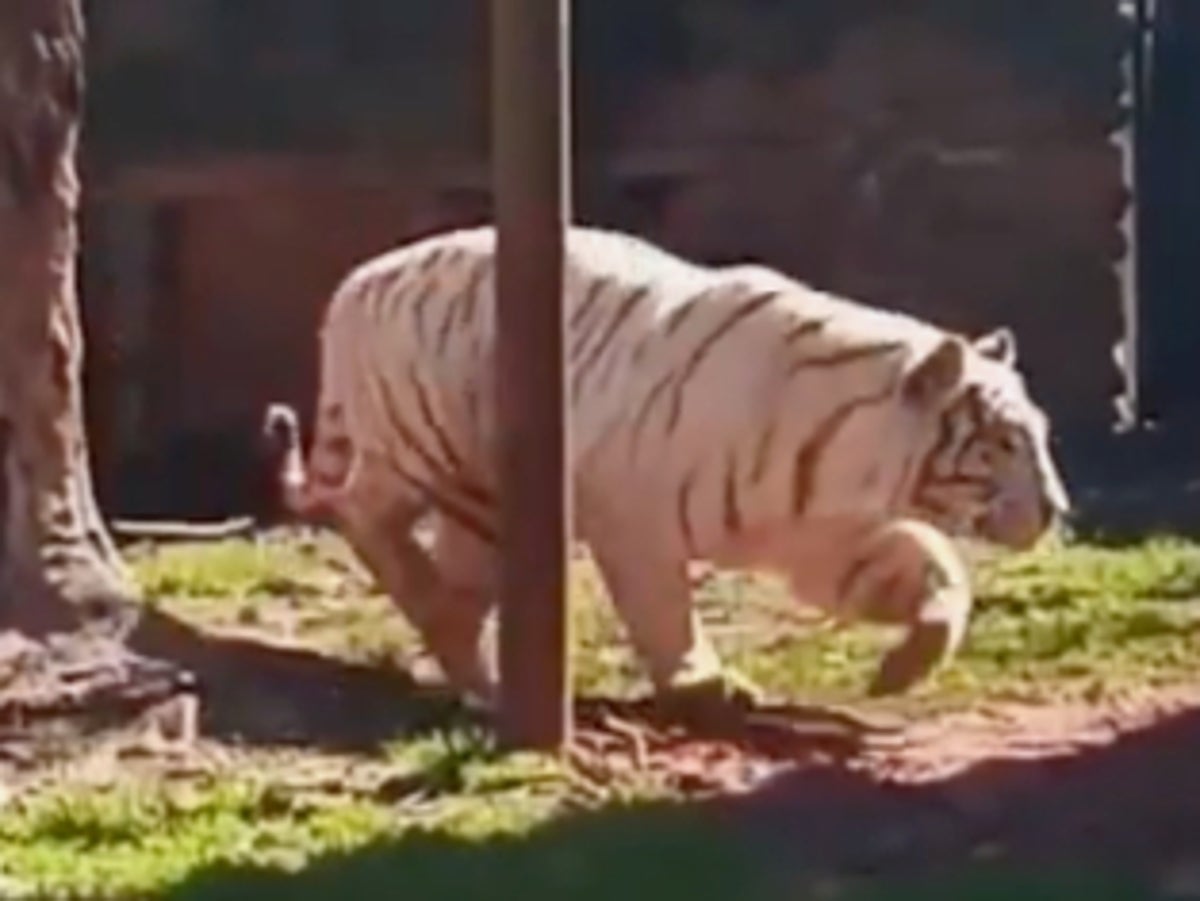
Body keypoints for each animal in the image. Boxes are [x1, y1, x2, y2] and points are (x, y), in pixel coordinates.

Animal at [262, 225, 1070, 710]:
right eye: (1003, 442)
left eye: (1040, 435)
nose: (1058, 509)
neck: (852, 466)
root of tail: (355, 281)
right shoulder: (634, 517)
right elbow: (663, 608)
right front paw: (704, 684)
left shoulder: (829, 539)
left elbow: (938, 571)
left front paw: (905, 669)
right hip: (419, 446)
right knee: (362, 511)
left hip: (484, 504)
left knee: (456, 583)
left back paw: (474, 664)